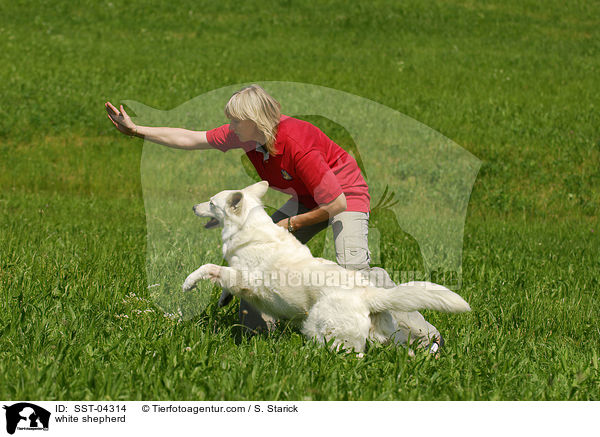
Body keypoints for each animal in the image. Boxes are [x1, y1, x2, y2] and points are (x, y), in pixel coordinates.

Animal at [180, 182, 472, 352]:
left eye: (211, 202)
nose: (192, 206)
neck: (248, 228)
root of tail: (371, 295)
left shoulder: (245, 279)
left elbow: (209, 267)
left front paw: (189, 283)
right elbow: (222, 279)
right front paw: (223, 298)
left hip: (323, 330)